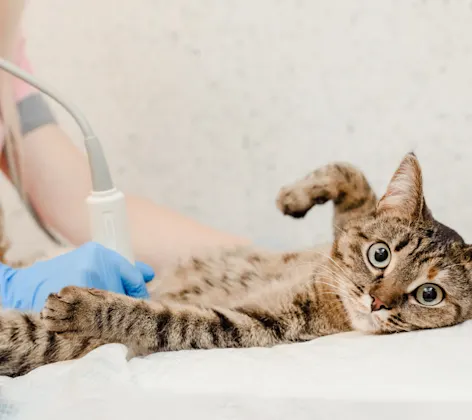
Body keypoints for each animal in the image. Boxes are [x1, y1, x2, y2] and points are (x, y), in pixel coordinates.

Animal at [0, 152, 472, 378]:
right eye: (380, 254)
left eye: (429, 294)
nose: (376, 302)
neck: (325, 291)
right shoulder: (343, 231)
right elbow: (351, 176)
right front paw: (294, 196)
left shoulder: (244, 325)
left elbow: (155, 317)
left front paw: (88, 305)